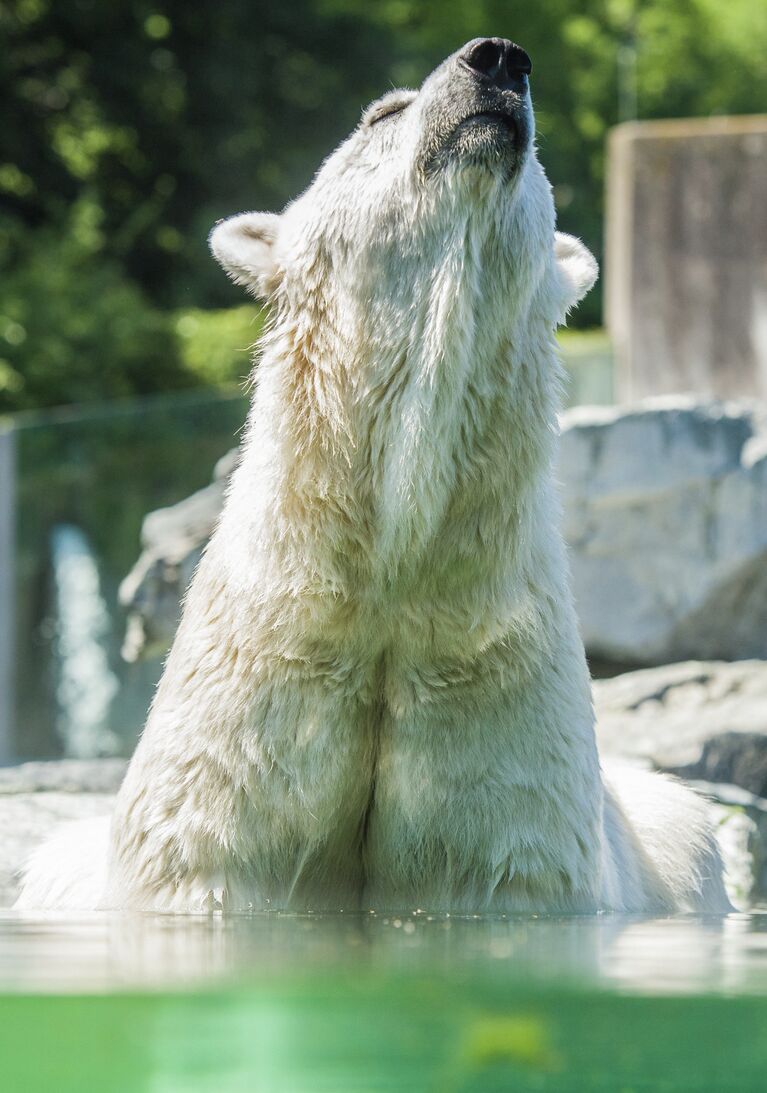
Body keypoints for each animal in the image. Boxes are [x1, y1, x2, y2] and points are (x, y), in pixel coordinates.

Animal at [15, 38, 729, 913]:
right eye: (382, 114)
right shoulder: (256, 680)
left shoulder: (494, 684)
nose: (498, 59)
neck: (387, 570)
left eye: (543, 151)